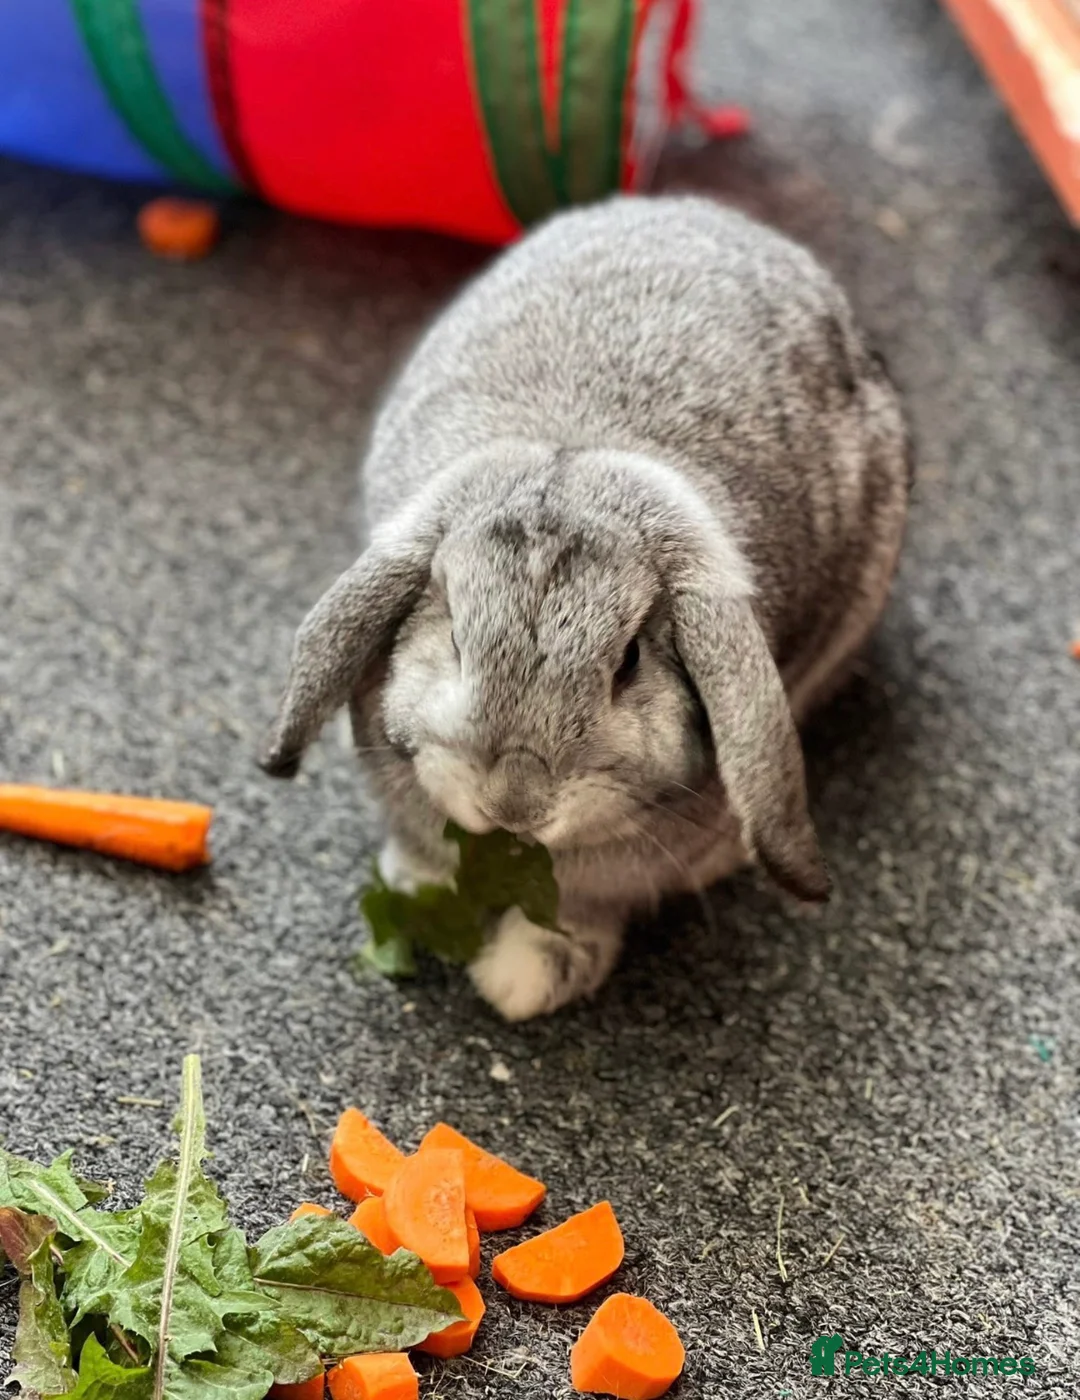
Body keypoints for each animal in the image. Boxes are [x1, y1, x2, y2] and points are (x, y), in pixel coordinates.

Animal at [260, 194, 911, 1021]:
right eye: (456, 637)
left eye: (629, 661)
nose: (515, 803)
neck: (576, 457)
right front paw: (414, 888)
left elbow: (580, 911)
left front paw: (524, 982)